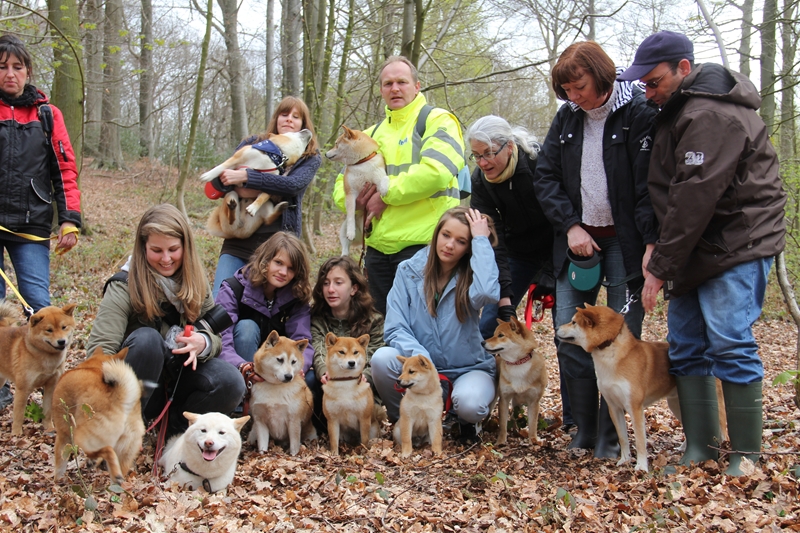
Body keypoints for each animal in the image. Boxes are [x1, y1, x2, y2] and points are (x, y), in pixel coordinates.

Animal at [0, 302, 76, 434]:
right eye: (49, 330)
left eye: (64, 327)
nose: (61, 341)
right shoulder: (22, 388)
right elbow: (19, 414)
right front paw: (16, 433)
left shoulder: (51, 385)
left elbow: (47, 411)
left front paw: (49, 427)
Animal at [53, 348, 145, 484]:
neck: (92, 367)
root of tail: (120, 398)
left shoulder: (63, 436)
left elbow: (60, 463)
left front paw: (56, 481)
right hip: (126, 449)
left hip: (82, 438)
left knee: (108, 451)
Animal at [324, 127, 390, 256]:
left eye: (336, 144)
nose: (325, 153)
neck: (362, 162)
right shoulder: (350, 193)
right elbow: (350, 215)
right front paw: (351, 232)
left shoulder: (378, 177)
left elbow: (384, 179)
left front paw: (384, 190)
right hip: (343, 229)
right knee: (346, 247)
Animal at [484, 316, 548, 444]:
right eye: (494, 334)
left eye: (500, 335)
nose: (482, 342)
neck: (517, 364)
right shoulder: (504, 399)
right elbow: (503, 425)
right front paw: (500, 442)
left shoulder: (534, 401)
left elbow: (533, 424)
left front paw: (534, 441)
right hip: (494, 401)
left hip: (517, 403)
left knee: (514, 417)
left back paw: (516, 431)